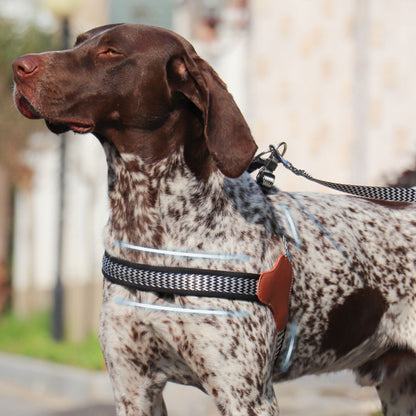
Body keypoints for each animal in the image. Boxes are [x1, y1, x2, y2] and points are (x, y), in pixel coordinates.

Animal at [12, 23, 416, 416]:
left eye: (111, 51)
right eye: (77, 41)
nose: (18, 66)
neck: (149, 221)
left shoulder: (245, 395)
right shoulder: (133, 387)